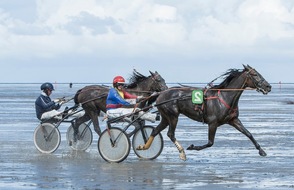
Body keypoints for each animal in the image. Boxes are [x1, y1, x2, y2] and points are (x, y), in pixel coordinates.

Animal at [137, 65, 272, 160]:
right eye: (254, 74)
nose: (268, 86)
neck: (224, 97)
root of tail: (161, 93)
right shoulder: (213, 123)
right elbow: (210, 143)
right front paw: (192, 147)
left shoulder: (233, 120)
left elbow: (248, 134)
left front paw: (261, 151)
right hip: (173, 116)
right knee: (170, 134)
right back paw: (182, 153)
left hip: (166, 117)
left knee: (155, 131)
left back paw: (143, 147)